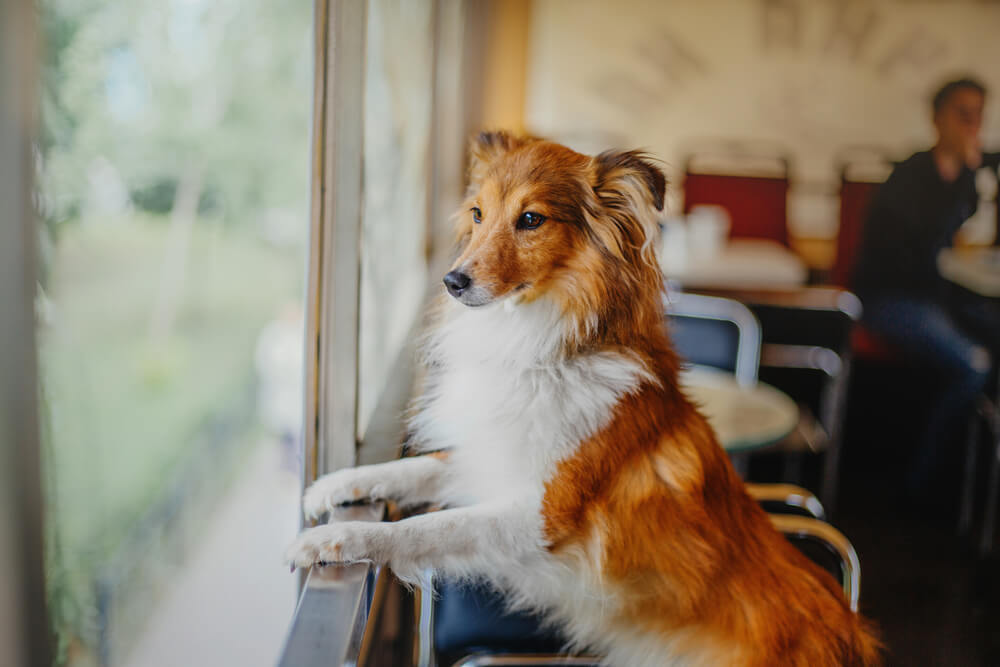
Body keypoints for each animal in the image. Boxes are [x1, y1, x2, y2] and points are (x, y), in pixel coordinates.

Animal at [286, 133, 880, 664]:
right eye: (477, 214)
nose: (453, 281)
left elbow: (426, 527)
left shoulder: (545, 514)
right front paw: (333, 487)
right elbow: (410, 471)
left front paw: (335, 541)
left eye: (531, 219)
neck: (540, 352)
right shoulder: (489, 457)